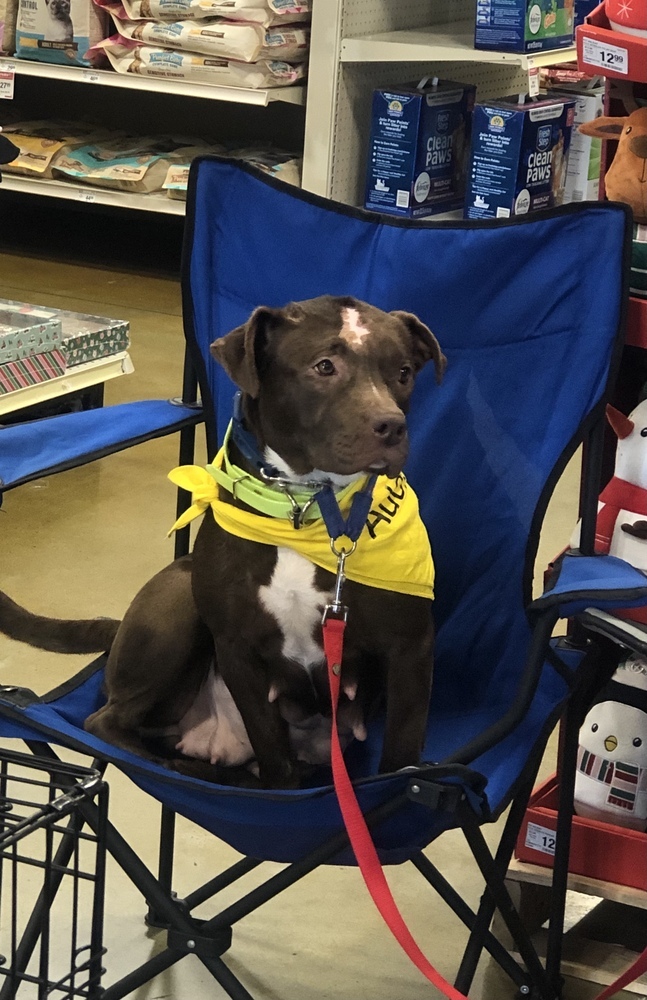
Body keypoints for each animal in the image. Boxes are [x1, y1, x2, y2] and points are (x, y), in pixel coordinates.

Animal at [0, 296, 446, 788]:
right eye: (324, 366)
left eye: (403, 372)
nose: (391, 426)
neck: (304, 506)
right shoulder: (238, 649)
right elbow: (271, 748)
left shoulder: (410, 649)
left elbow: (401, 756)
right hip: (179, 599)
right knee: (106, 722)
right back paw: (176, 765)